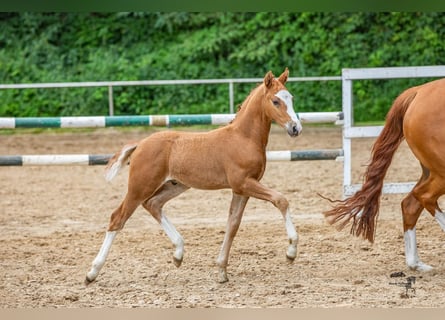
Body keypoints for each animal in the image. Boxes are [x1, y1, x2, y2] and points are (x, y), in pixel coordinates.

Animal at [85, 69, 302, 284]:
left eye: (291, 98)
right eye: (275, 101)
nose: (295, 128)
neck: (243, 138)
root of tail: (140, 144)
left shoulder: (242, 189)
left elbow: (233, 224)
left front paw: (221, 270)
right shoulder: (243, 183)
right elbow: (281, 200)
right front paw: (291, 252)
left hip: (175, 185)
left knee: (153, 204)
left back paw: (178, 254)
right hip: (140, 187)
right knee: (118, 218)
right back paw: (92, 273)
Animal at [322, 79, 444, 272]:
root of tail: (418, 92)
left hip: (431, 170)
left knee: (410, 204)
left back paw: (415, 264)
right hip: (440, 170)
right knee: (424, 197)